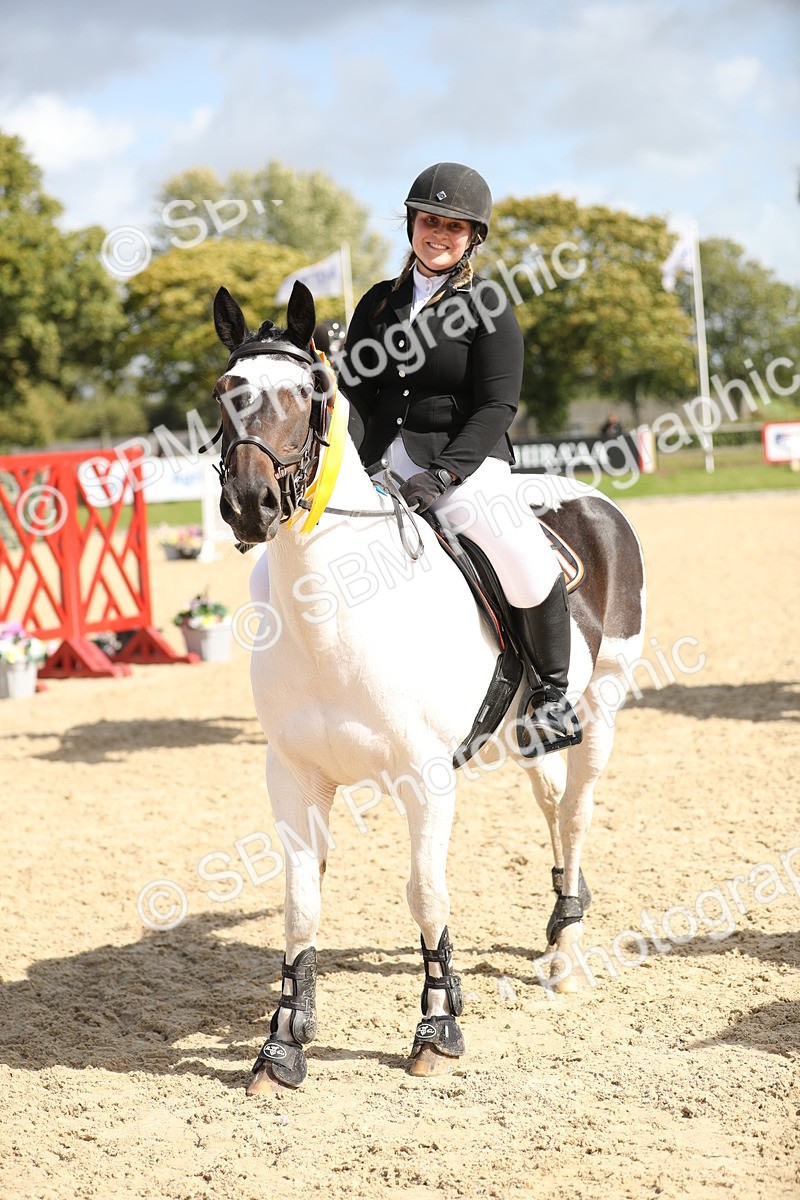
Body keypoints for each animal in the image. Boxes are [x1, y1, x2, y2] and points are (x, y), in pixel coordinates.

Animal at [208, 280, 646, 1095]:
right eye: (226, 391)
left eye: (311, 393)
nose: (250, 504)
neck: (335, 614)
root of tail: (588, 496)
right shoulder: (293, 775)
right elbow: (300, 905)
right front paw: (280, 1046)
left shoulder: (424, 775)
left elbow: (425, 892)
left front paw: (438, 1029)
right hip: (522, 733)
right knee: (550, 799)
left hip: (601, 706)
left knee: (575, 810)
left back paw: (568, 952)